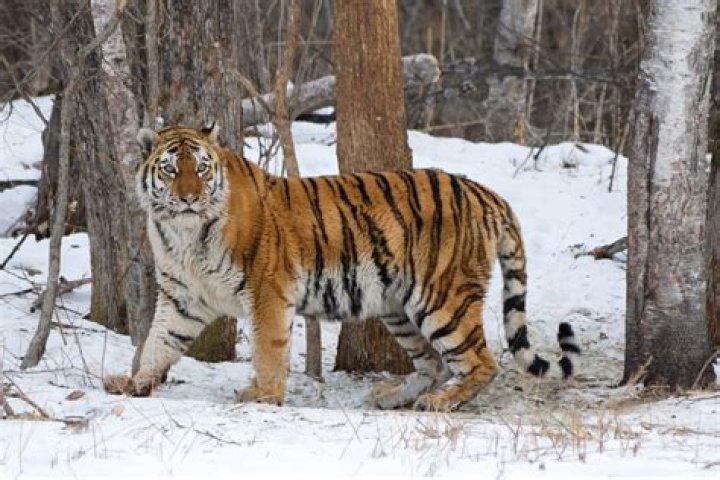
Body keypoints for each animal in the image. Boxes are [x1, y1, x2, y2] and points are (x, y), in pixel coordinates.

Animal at [103, 124, 580, 411]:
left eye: (201, 168)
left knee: (481, 362)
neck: (184, 234)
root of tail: (486, 192)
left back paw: (442, 402)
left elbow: (268, 349)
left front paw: (263, 395)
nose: (189, 197)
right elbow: (157, 343)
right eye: (170, 169)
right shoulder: (181, 298)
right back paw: (390, 396)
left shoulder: (266, 291)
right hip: (397, 307)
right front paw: (134, 383)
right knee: (434, 364)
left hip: (442, 299)